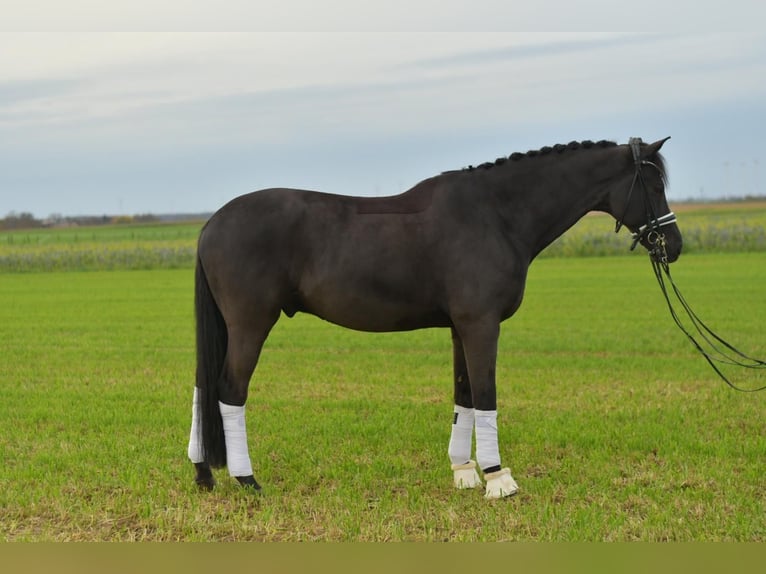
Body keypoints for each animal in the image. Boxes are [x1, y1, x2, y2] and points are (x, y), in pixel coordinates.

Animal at [186, 137, 682, 499]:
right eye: (654, 185)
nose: (673, 245)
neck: (496, 214)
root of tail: (211, 225)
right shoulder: (482, 325)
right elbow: (486, 394)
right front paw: (499, 479)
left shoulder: (461, 328)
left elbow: (464, 395)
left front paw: (465, 472)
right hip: (251, 325)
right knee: (229, 391)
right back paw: (247, 480)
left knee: (204, 387)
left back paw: (203, 475)